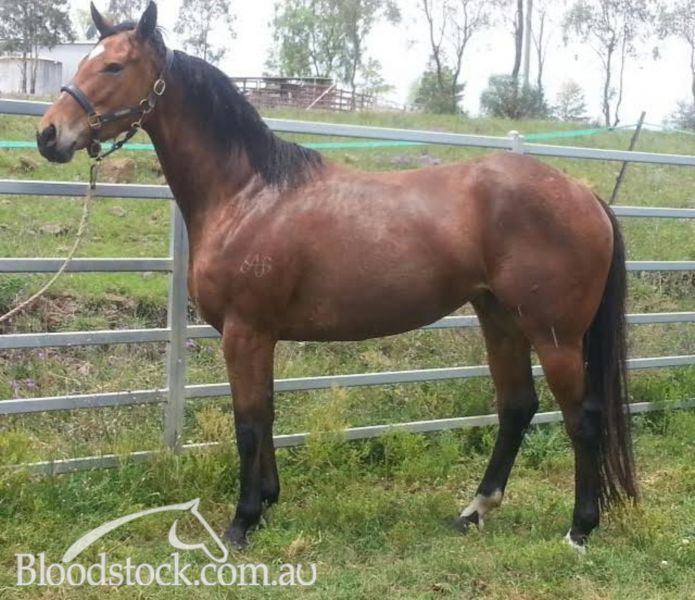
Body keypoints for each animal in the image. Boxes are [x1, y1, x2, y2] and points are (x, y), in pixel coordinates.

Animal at [37, 1, 636, 551]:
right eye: (87, 59)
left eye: (115, 66)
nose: (48, 135)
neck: (248, 195)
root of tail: (585, 196)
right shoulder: (261, 337)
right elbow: (267, 413)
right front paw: (268, 502)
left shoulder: (244, 332)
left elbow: (248, 423)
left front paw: (242, 522)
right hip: (501, 321)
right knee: (517, 407)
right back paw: (474, 511)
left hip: (554, 335)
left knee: (582, 418)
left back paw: (580, 528)